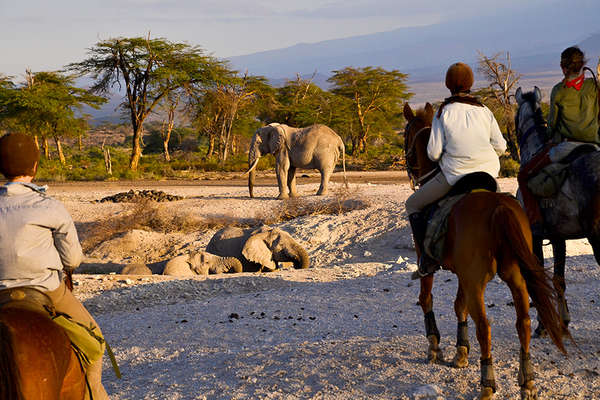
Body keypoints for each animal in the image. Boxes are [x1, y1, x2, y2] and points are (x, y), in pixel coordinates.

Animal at [404, 101, 568, 398]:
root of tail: (499, 208)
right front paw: (461, 352)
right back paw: (527, 381)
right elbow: (459, 306)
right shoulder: (464, 274)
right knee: (523, 322)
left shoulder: (430, 265)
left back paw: (487, 384)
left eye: (405, 134)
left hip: (479, 282)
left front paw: (435, 346)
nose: (408, 167)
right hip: (513, 277)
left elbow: (426, 299)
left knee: (485, 326)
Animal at [512, 86, 600, 336]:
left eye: (515, 118)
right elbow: (559, 280)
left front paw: (543, 325)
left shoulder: (535, 236)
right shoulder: (559, 237)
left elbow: (539, 277)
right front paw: (564, 321)